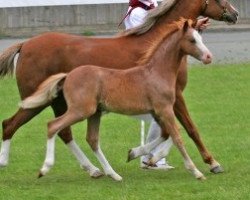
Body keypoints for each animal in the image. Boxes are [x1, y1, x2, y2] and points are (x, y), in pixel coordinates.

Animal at [0, 0, 238, 177]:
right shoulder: (175, 97)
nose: (234, 14)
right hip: (40, 101)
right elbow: (188, 129)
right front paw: (212, 163)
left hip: (58, 101)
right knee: (12, 124)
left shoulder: (163, 102)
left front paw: (147, 158)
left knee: (62, 132)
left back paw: (94, 169)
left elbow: (168, 131)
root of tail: (25, 44)